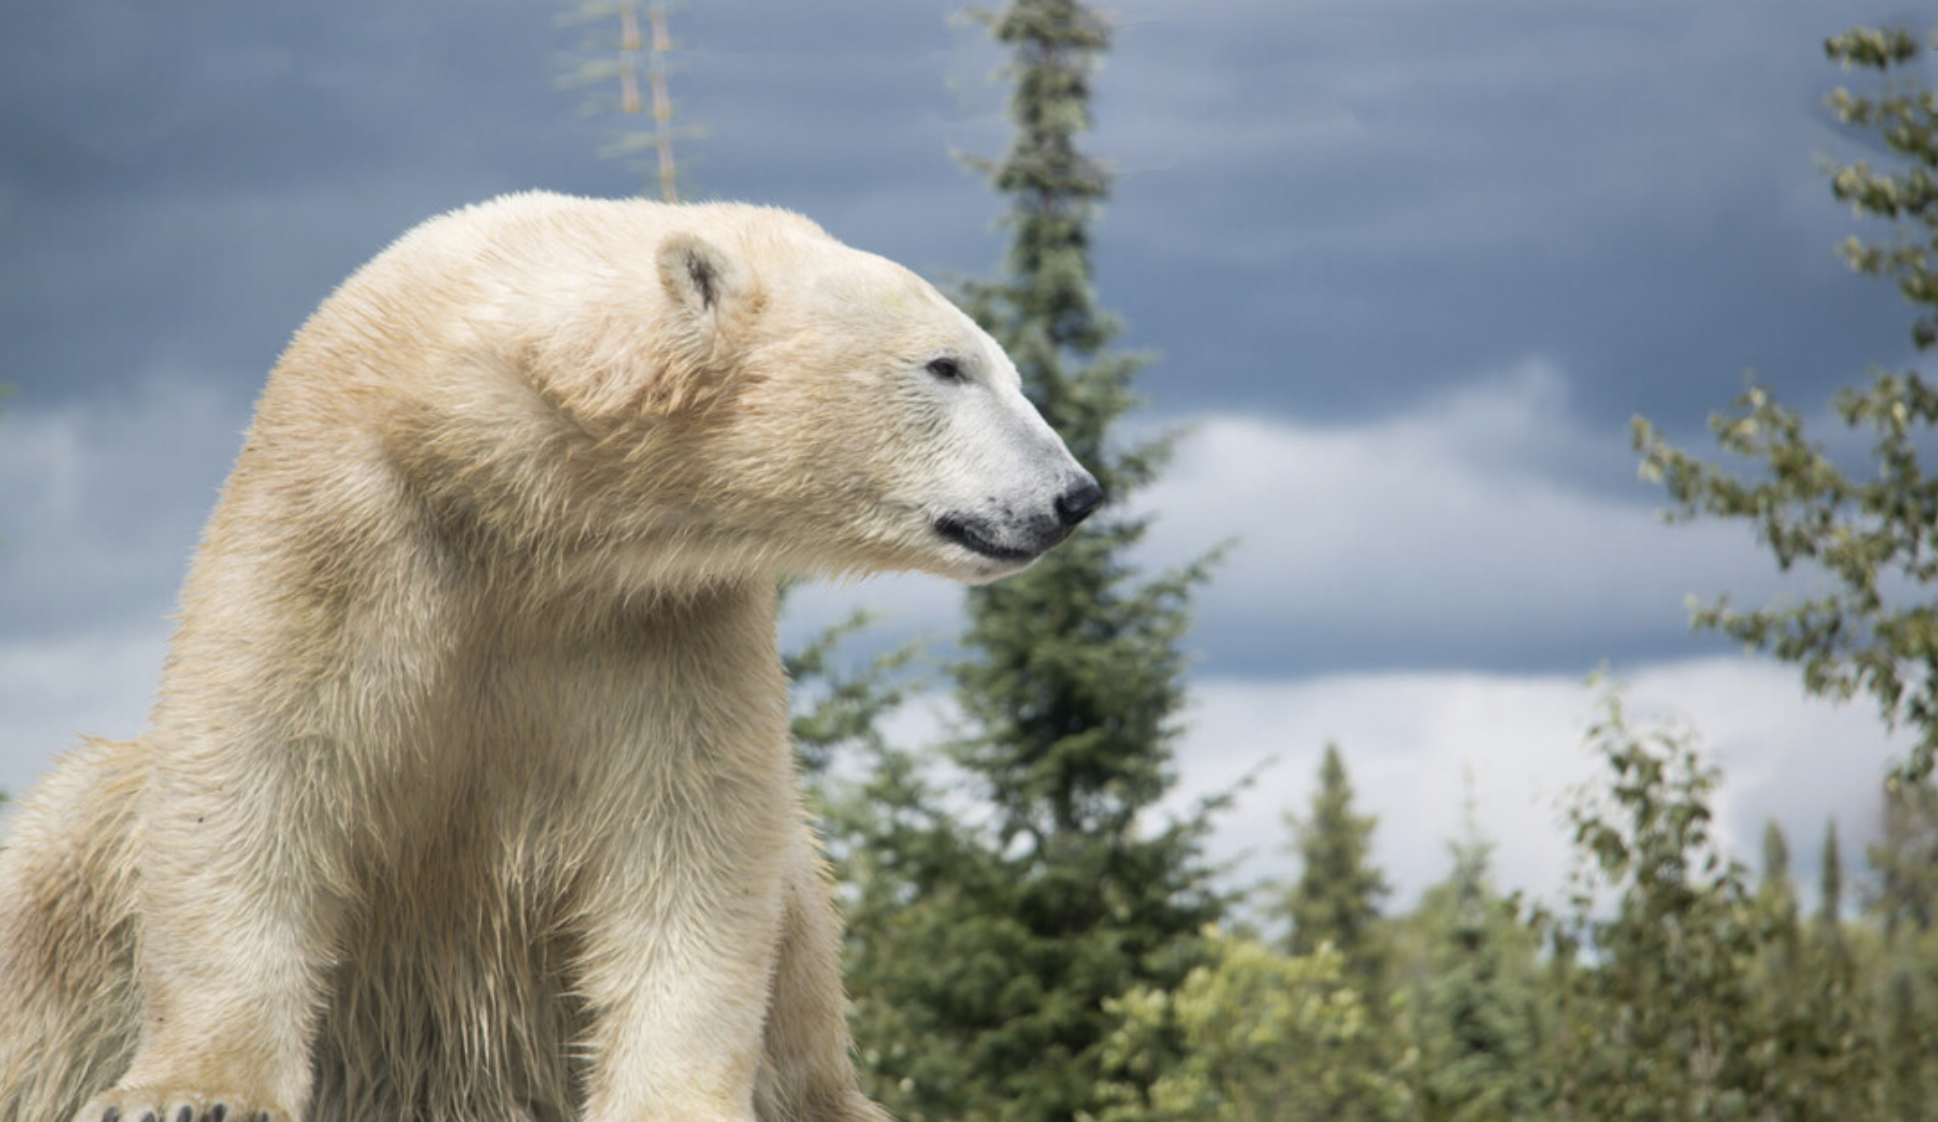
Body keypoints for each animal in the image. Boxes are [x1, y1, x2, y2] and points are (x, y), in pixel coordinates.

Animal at [0, 192, 1102, 1122]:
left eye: (999, 366)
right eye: (948, 367)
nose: (1076, 493)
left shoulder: (662, 621)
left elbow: (690, 842)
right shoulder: (335, 527)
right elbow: (252, 773)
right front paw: (193, 1094)